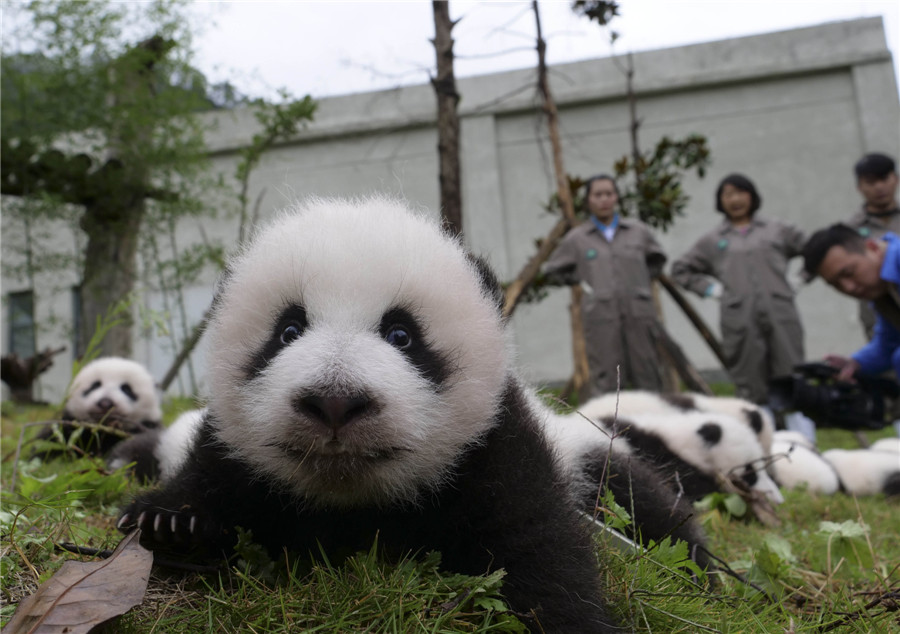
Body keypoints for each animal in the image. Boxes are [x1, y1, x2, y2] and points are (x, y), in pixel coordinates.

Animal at [118, 197, 629, 632]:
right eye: (288, 330)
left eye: (402, 334)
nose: (335, 401)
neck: (354, 502)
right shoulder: (231, 445)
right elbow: (208, 477)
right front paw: (171, 525)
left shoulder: (495, 446)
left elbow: (538, 547)